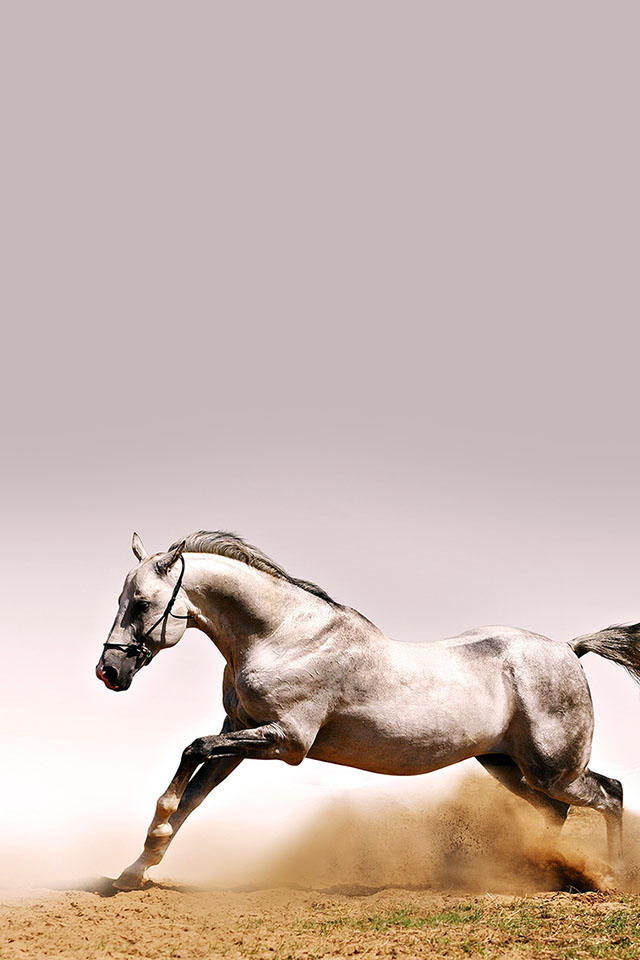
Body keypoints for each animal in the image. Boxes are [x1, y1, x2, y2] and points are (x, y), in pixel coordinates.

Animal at [96, 530, 638, 891]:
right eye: (121, 599)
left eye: (141, 604)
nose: (109, 671)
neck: (281, 636)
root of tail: (569, 649)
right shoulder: (242, 734)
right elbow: (194, 793)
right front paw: (134, 871)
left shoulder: (287, 740)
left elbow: (192, 752)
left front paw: (151, 839)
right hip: (507, 766)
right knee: (557, 811)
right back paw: (542, 873)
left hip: (553, 768)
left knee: (609, 793)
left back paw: (611, 877)